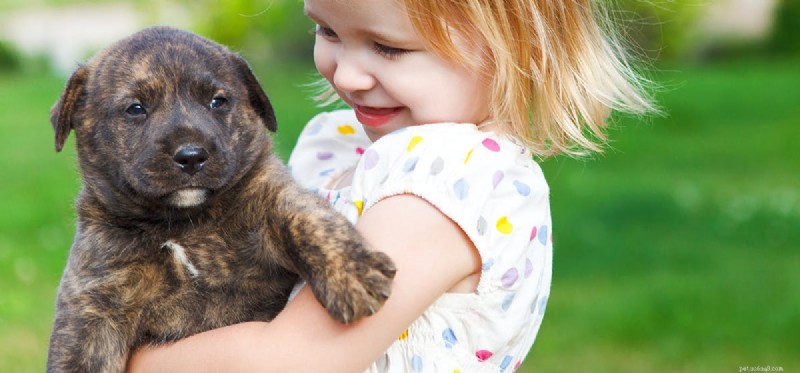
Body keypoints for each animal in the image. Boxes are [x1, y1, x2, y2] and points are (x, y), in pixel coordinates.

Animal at [45, 24, 396, 370]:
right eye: (136, 108)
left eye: (218, 102)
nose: (191, 156)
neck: (184, 224)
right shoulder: (94, 304)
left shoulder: (269, 193)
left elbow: (304, 215)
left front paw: (351, 273)